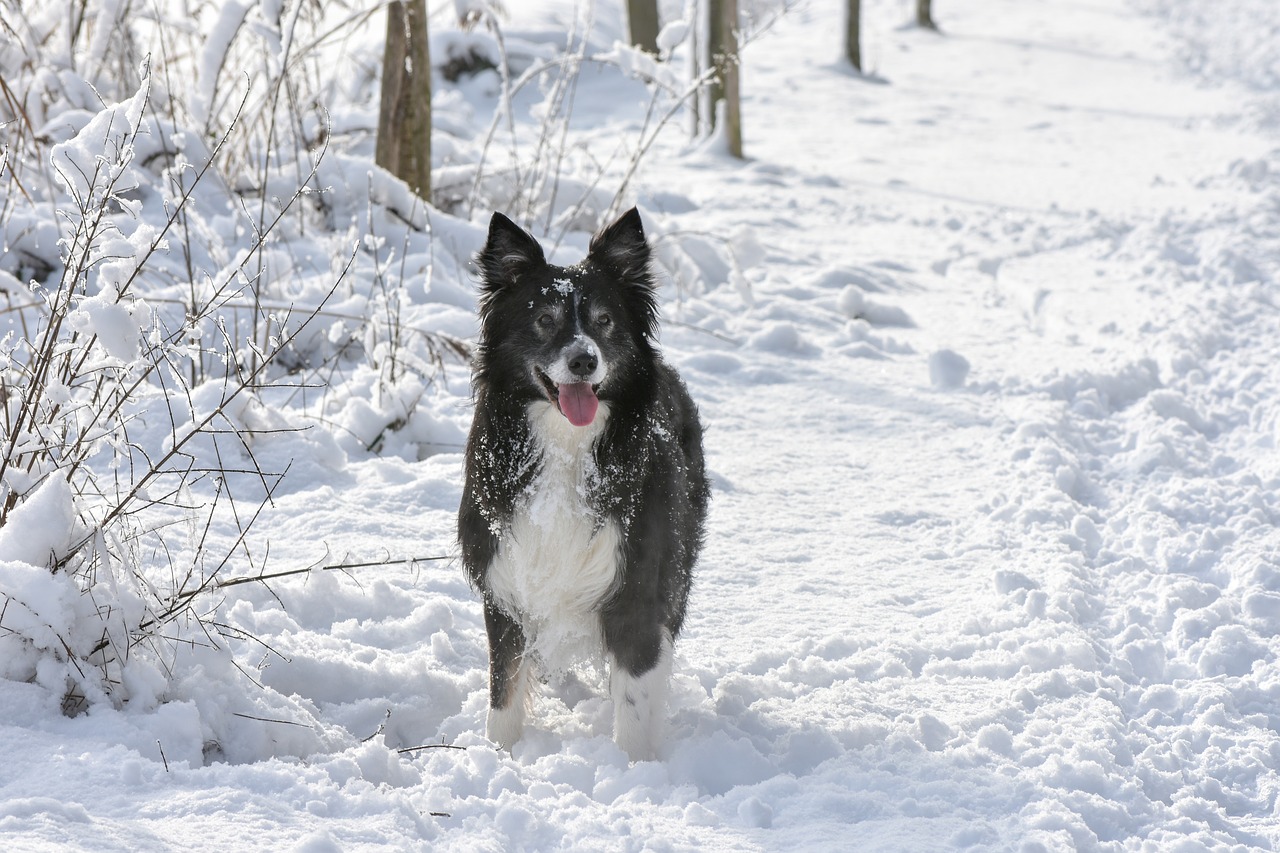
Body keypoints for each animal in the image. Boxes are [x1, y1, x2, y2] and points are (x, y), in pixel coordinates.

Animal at [458, 207, 711, 758]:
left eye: (604, 321)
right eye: (545, 320)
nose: (584, 359)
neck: (566, 447)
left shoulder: (637, 588)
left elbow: (635, 701)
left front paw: (636, 770)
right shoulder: (504, 585)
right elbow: (503, 694)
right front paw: (499, 758)